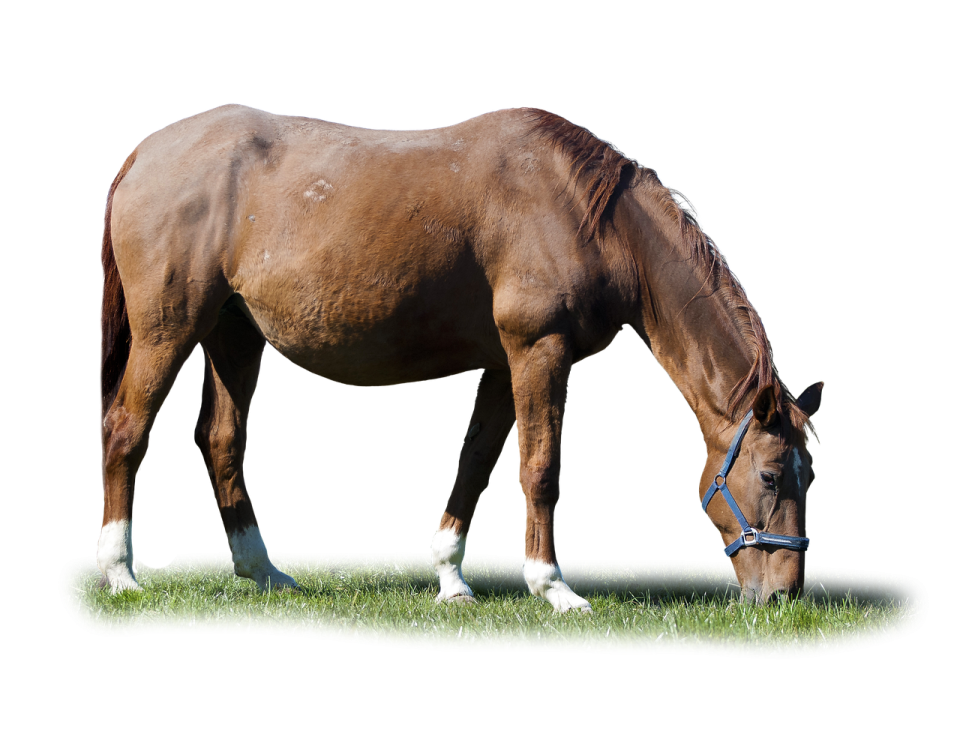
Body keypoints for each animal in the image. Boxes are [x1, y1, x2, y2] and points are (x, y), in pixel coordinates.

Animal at [98, 103, 823, 611]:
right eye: (769, 476)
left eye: (808, 475)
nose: (784, 591)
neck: (587, 213)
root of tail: (142, 153)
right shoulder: (540, 351)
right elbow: (540, 469)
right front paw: (553, 587)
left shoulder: (505, 363)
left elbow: (476, 461)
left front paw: (451, 576)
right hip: (169, 329)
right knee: (126, 430)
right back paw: (120, 572)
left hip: (235, 335)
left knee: (219, 439)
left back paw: (264, 571)